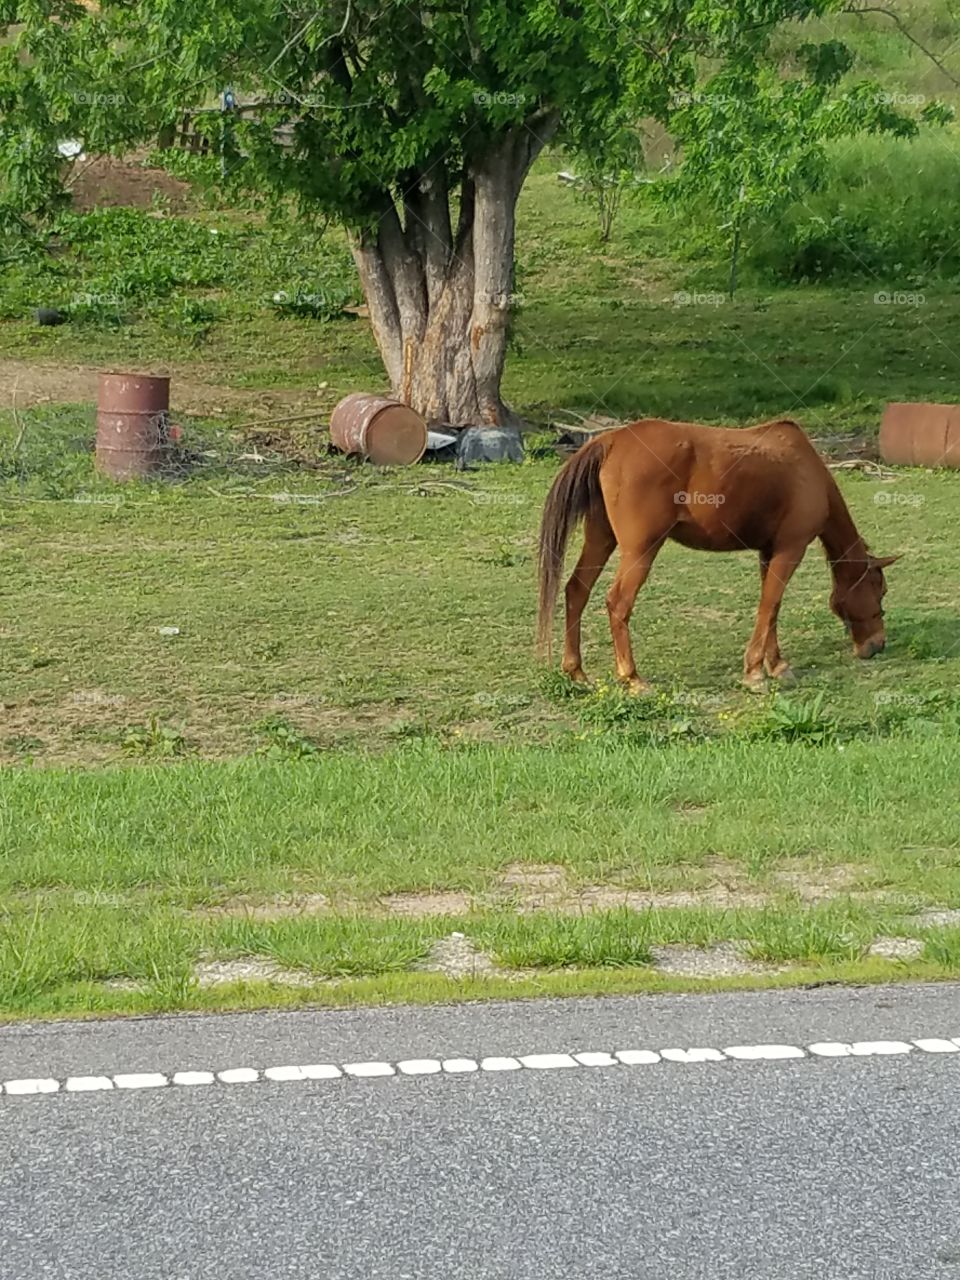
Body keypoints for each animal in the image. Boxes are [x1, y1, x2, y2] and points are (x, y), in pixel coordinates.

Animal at [536, 417, 900, 690]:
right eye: (879, 590)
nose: (877, 645)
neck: (807, 469)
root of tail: (611, 440)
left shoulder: (769, 552)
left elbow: (772, 608)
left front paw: (775, 664)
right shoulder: (790, 548)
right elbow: (769, 605)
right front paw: (755, 673)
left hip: (601, 538)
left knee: (577, 591)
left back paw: (576, 671)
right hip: (640, 550)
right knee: (618, 604)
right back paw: (633, 677)